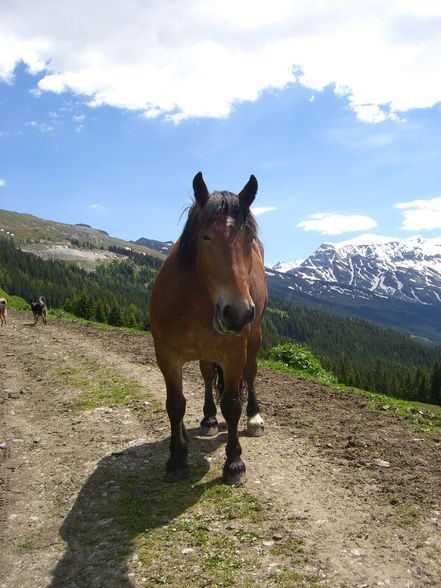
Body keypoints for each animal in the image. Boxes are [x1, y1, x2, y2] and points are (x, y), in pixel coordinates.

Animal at [150, 172, 266, 484]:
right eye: (206, 237)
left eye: (249, 239)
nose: (237, 313)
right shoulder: (166, 355)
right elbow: (175, 404)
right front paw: (177, 457)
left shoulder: (234, 354)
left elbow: (233, 405)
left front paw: (235, 463)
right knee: (205, 376)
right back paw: (209, 418)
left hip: (255, 338)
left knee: (251, 374)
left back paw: (254, 417)